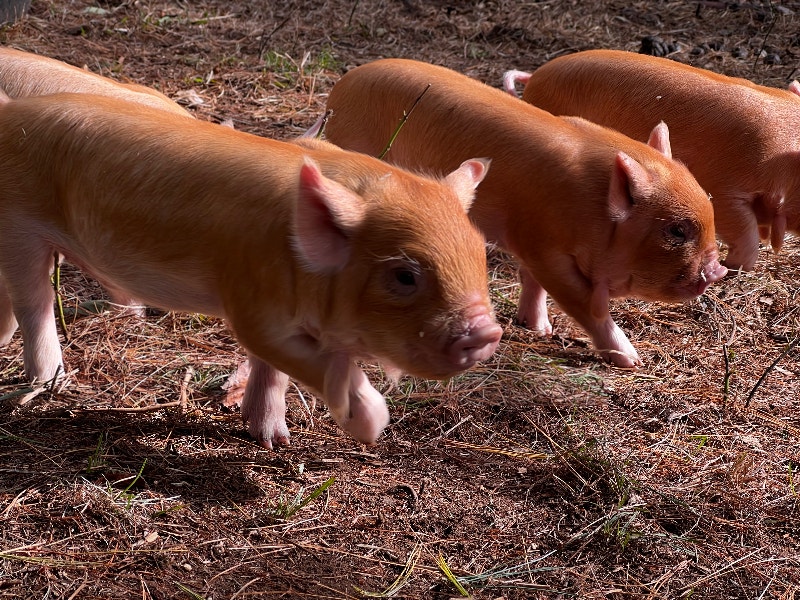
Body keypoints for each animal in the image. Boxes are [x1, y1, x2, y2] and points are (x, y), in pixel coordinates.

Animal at [0, 90, 502, 448]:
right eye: (404, 275)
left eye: (480, 256)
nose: (487, 332)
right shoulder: (253, 306)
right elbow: (313, 362)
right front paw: (374, 428)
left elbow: (274, 370)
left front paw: (273, 440)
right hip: (19, 226)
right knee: (34, 303)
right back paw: (50, 382)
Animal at [321, 58, 726, 368]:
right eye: (677, 231)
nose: (718, 270)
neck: (590, 206)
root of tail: (341, 86)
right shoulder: (548, 252)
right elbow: (586, 306)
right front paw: (633, 361)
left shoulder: (533, 243)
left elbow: (532, 281)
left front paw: (539, 329)